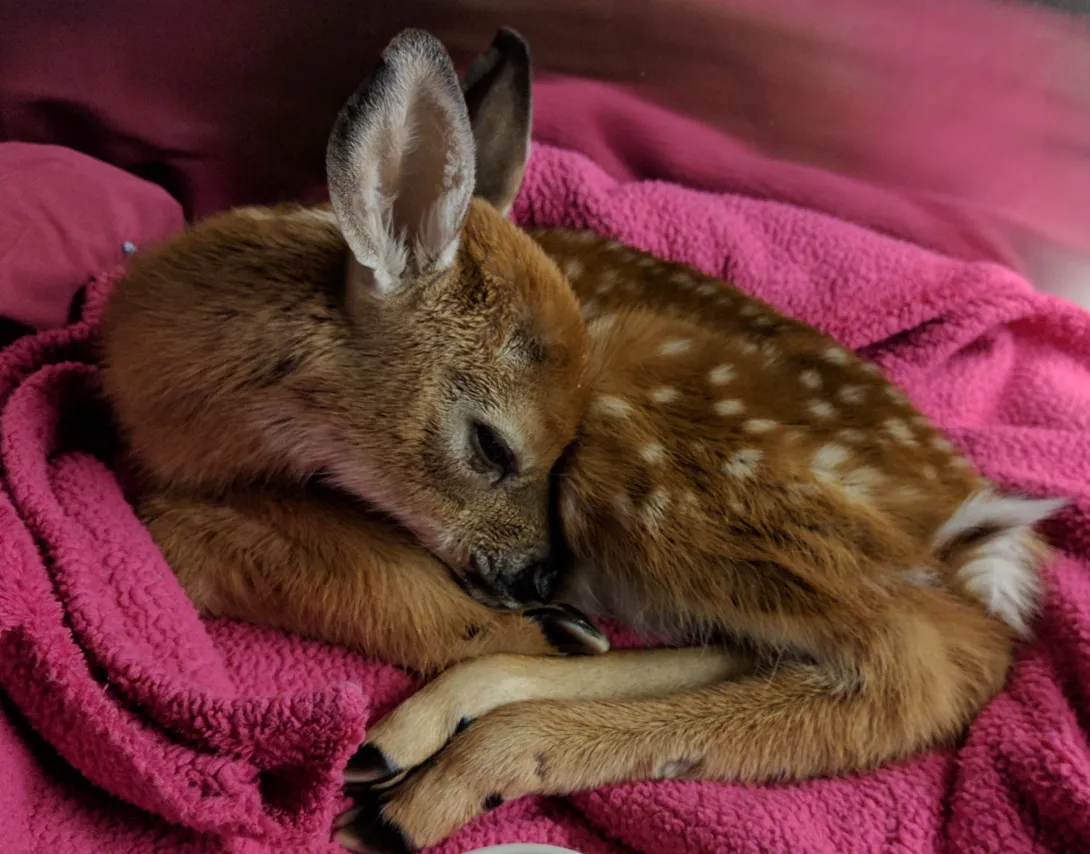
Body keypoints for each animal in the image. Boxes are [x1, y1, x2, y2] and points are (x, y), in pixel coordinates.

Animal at [96, 27, 1063, 854]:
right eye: (493, 447)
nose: (541, 578)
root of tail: (965, 537)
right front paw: (544, 629)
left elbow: (239, 549)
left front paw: (541, 632)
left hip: (657, 454)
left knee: (911, 673)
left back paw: (424, 786)